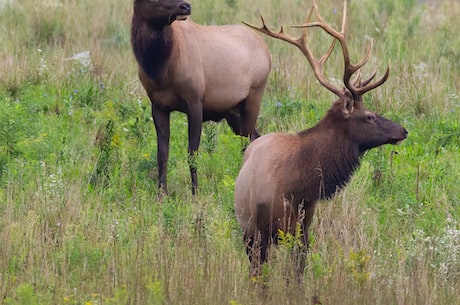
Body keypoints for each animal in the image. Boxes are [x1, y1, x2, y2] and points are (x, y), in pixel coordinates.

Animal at [234, 0, 406, 276]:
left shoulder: (303, 229)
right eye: (369, 116)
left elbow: (296, 275)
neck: (297, 187)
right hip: (249, 230)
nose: (403, 130)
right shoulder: (259, 232)